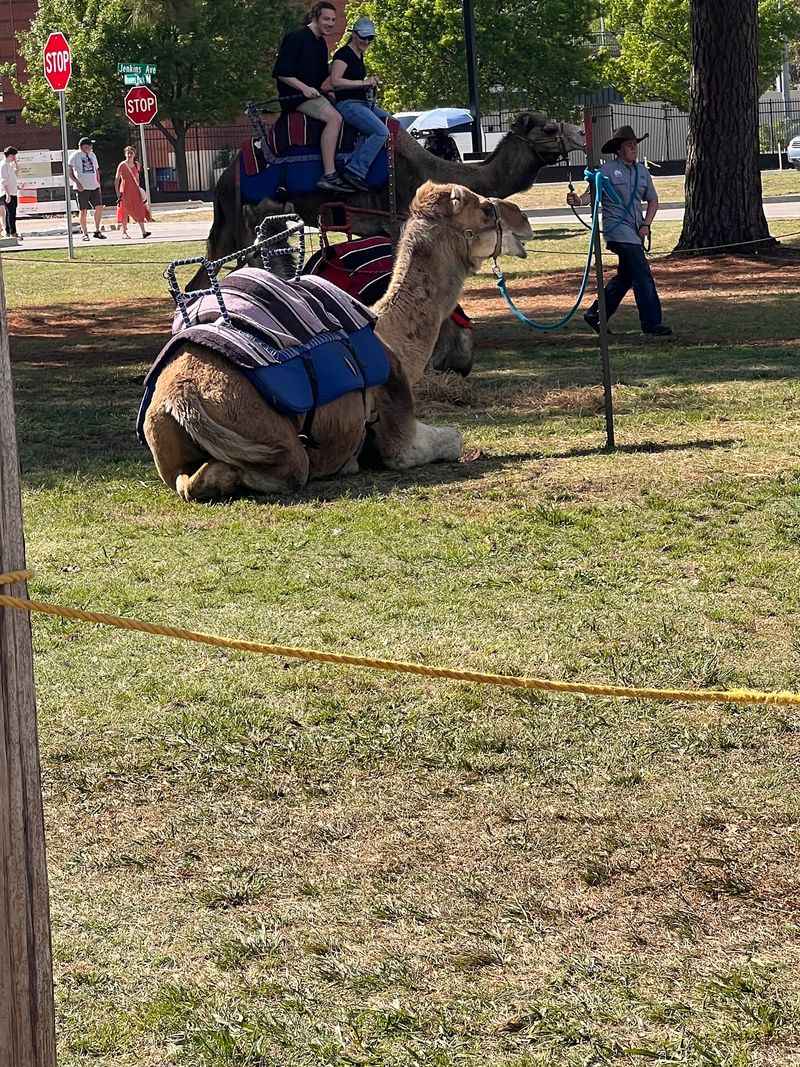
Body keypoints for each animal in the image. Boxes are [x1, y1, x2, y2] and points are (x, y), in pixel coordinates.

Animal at [143, 183, 532, 502]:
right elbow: (450, 439)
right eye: (485, 209)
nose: (523, 217)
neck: (389, 336)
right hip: (278, 445)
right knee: (278, 469)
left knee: (185, 478)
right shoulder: (399, 425)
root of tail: (180, 398)